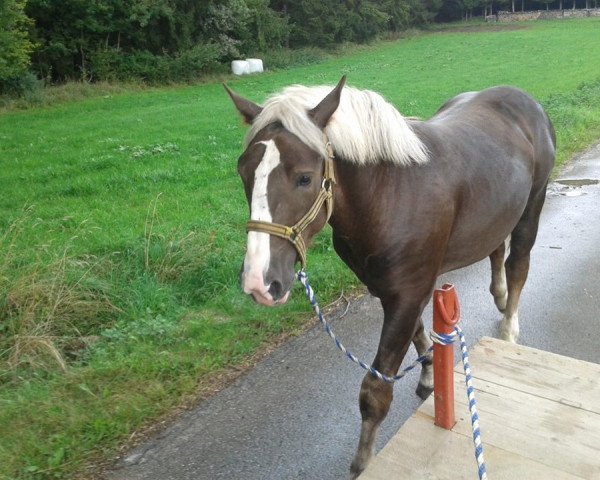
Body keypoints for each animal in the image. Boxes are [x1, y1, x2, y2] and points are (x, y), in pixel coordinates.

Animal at [226, 77, 556, 474]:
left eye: (304, 177)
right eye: (243, 172)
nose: (259, 282)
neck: (390, 193)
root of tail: (523, 99)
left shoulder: (408, 291)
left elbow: (375, 390)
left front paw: (363, 462)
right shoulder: (392, 288)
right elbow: (417, 333)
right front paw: (429, 372)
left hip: (533, 202)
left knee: (518, 262)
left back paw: (508, 328)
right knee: (495, 247)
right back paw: (501, 295)